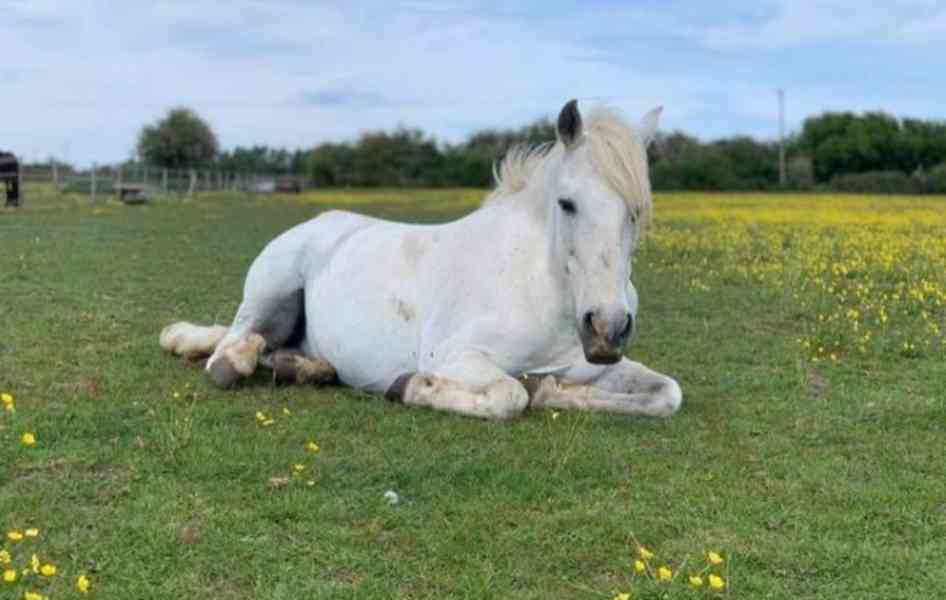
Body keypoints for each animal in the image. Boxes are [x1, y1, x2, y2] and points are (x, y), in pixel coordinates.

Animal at [160, 101, 680, 420]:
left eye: (636, 212)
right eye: (567, 204)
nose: (607, 330)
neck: (541, 286)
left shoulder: (592, 367)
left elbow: (667, 393)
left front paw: (552, 391)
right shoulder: (454, 356)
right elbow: (510, 396)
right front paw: (410, 387)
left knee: (272, 347)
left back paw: (308, 369)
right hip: (271, 289)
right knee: (230, 348)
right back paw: (242, 362)